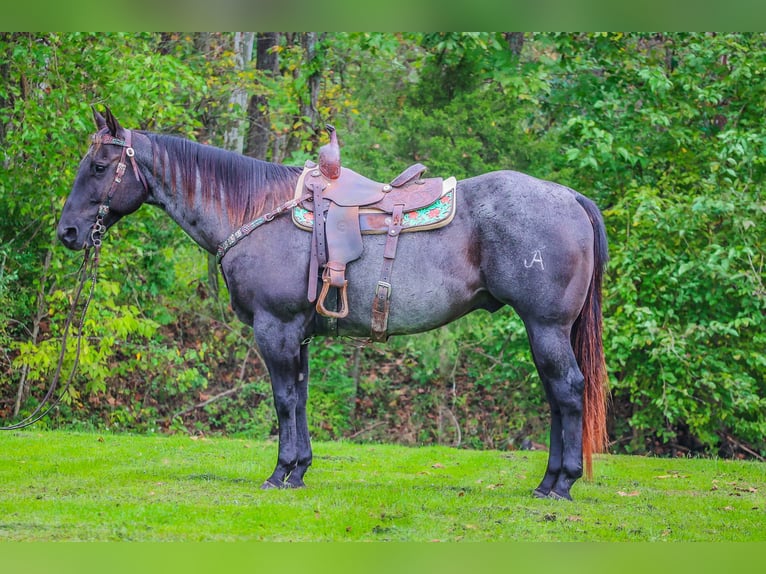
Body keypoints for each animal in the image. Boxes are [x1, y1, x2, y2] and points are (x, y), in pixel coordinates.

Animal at [57, 107, 609, 501]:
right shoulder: (296, 333)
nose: (67, 233)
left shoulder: (274, 328)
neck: (258, 210)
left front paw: (280, 472)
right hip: (547, 331)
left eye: (100, 166)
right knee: (556, 395)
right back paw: (547, 481)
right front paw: (299, 470)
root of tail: (571, 197)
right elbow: (299, 398)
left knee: (567, 390)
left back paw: (561, 484)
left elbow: (283, 400)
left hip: (545, 327)